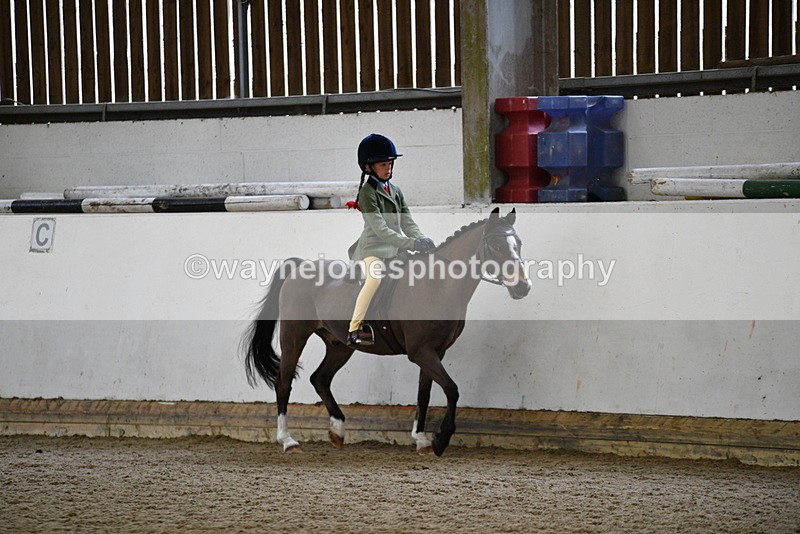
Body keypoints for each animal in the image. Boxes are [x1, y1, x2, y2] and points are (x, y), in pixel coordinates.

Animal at [243, 207, 531, 456]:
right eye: (496, 245)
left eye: (518, 244)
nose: (522, 287)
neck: (436, 286)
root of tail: (300, 266)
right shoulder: (421, 352)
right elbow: (452, 388)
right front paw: (441, 440)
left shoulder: (435, 352)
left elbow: (424, 394)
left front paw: (422, 440)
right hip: (294, 338)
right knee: (283, 383)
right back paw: (288, 440)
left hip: (340, 345)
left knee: (320, 379)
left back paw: (337, 431)